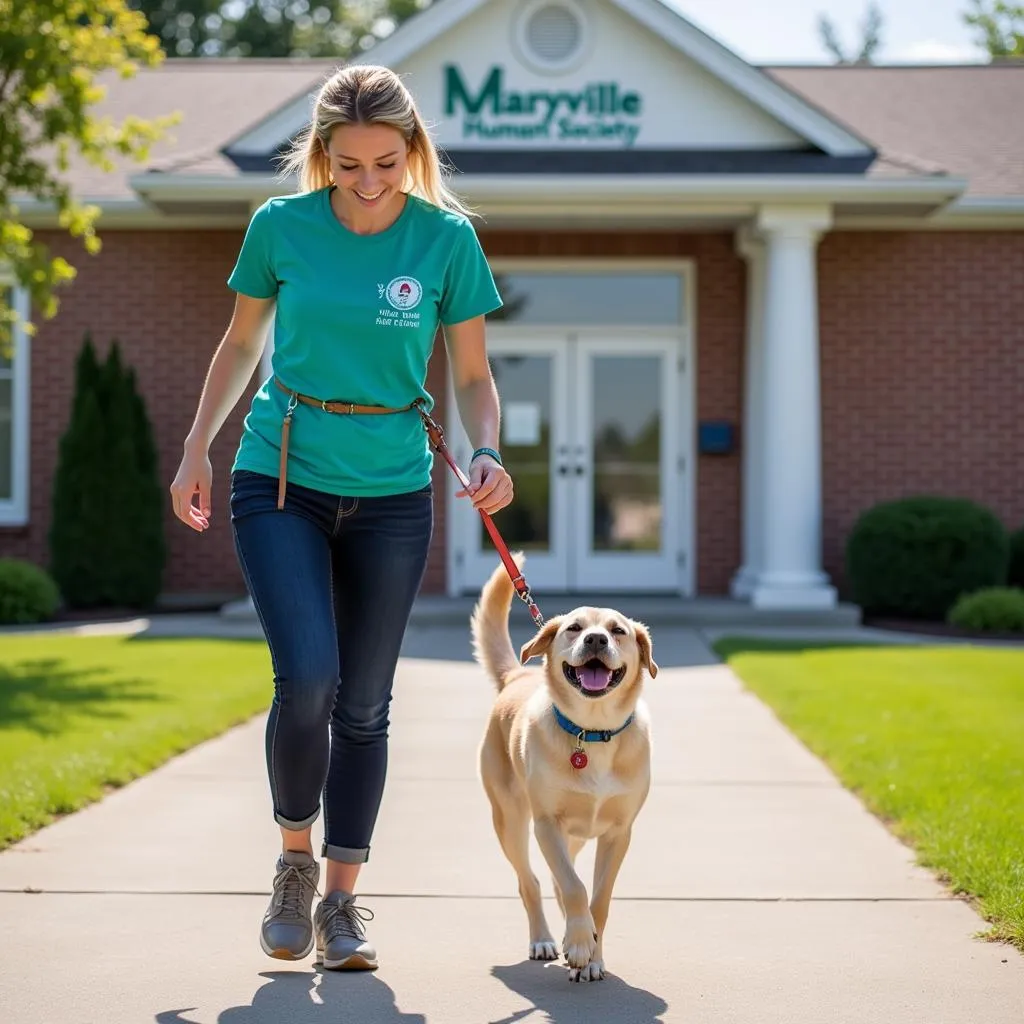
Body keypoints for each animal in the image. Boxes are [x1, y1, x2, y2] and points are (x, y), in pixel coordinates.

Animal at [468, 557, 655, 978]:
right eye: (574, 628)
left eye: (617, 631)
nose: (596, 640)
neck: (593, 731)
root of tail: (517, 675)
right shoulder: (546, 823)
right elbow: (574, 887)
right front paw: (580, 943)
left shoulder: (618, 833)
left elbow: (598, 898)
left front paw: (592, 954)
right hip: (511, 820)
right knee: (533, 882)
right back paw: (545, 938)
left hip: (576, 836)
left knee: (558, 878)